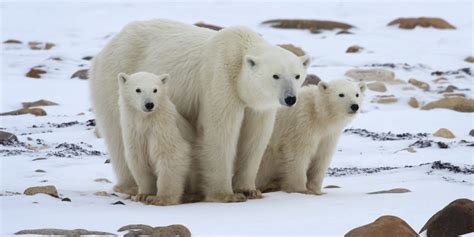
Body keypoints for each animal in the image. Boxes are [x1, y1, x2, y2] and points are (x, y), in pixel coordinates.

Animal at [117, 71, 193, 205]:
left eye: (155, 90)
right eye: (138, 89)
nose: (149, 104)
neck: (146, 120)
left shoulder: (163, 128)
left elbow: (170, 155)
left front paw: (161, 198)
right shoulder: (134, 133)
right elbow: (138, 160)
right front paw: (143, 195)